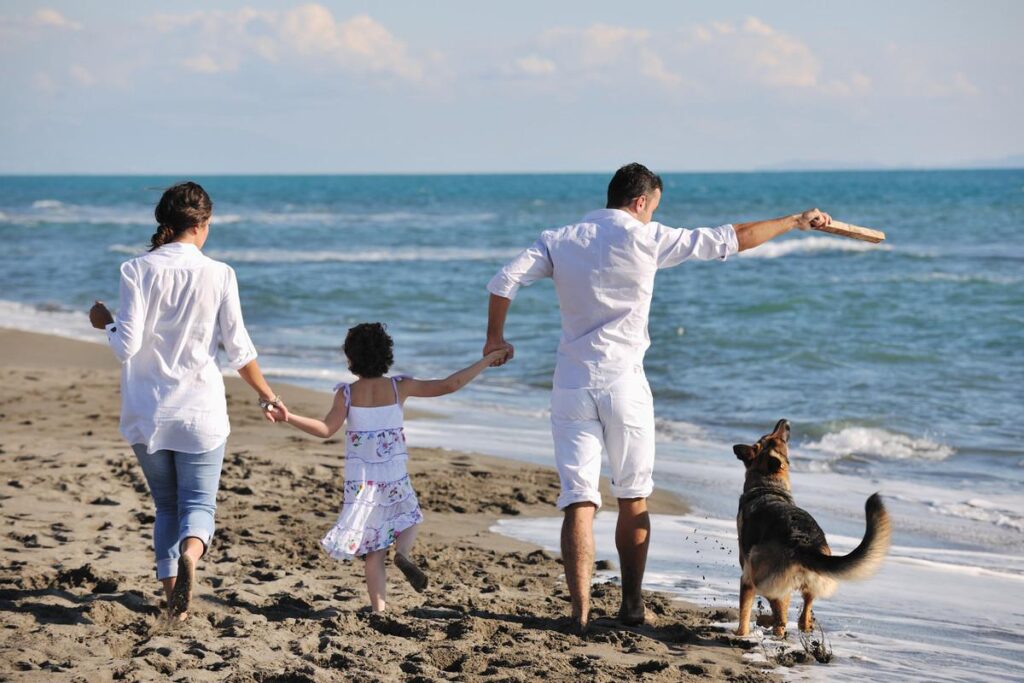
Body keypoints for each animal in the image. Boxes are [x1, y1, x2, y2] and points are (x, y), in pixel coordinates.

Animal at [737, 419, 888, 638]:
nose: (785, 422)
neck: (768, 484)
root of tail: (802, 544)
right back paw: (803, 625)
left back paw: (747, 630)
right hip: (813, 579)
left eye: (774, 437)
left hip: (753, 575)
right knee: (801, 609)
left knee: (767, 610)